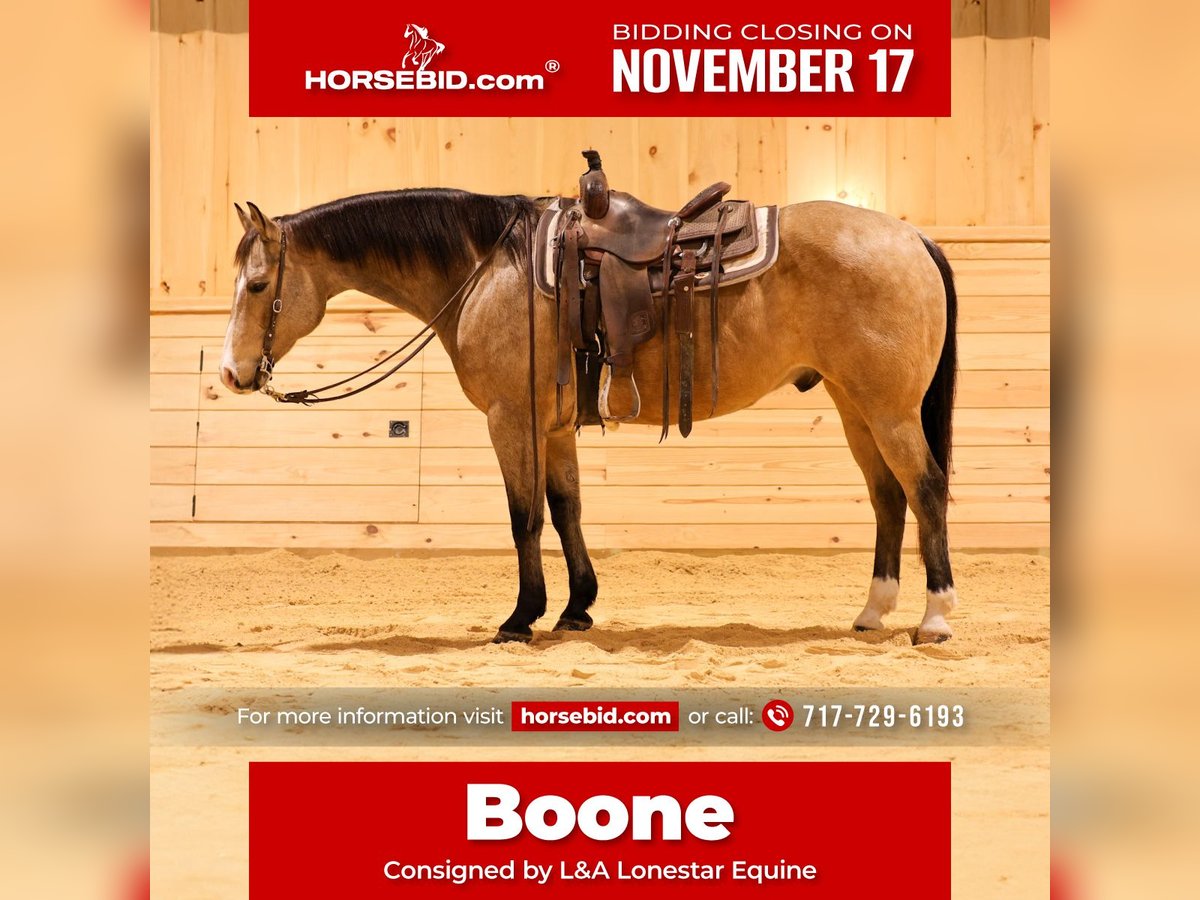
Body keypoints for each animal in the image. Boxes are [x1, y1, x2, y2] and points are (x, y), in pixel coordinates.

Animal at [222, 189, 959, 645]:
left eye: (257, 285)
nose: (231, 373)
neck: (491, 269)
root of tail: (911, 236)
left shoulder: (511, 419)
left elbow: (524, 516)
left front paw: (521, 617)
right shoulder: (552, 427)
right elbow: (566, 509)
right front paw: (577, 608)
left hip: (888, 410)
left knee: (925, 490)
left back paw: (936, 618)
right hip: (854, 406)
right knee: (888, 496)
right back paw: (873, 611)